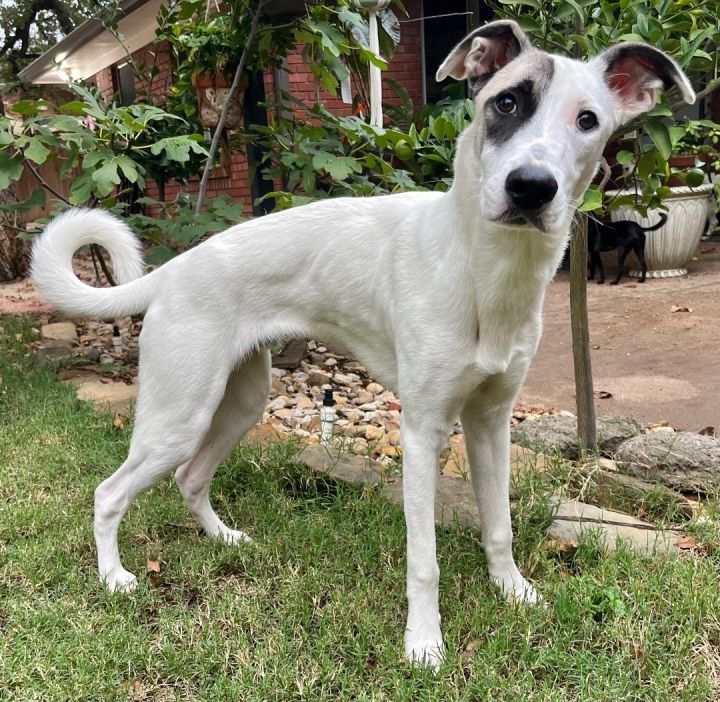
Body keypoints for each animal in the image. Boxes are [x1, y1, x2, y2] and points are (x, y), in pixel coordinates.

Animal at [31, 20, 696, 672]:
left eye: (588, 120)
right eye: (506, 102)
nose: (531, 188)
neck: (481, 268)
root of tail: (172, 270)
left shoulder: (491, 421)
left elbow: (500, 526)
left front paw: (513, 592)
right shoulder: (423, 430)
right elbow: (424, 560)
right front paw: (424, 643)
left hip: (240, 401)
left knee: (191, 478)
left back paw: (224, 540)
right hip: (180, 411)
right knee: (110, 493)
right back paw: (114, 578)